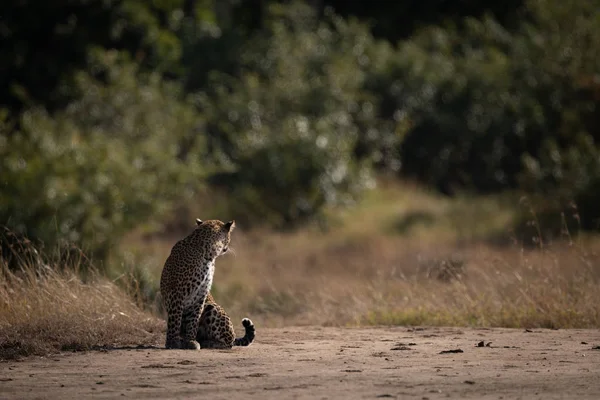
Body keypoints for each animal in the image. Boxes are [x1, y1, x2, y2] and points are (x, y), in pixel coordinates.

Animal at [159, 217, 253, 348]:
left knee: (229, 342)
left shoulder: (201, 294)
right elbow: (175, 320)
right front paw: (173, 342)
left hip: (211, 306)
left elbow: (194, 319)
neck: (208, 255)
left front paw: (190, 341)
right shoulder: (177, 292)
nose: (227, 248)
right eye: (229, 237)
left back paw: (207, 342)